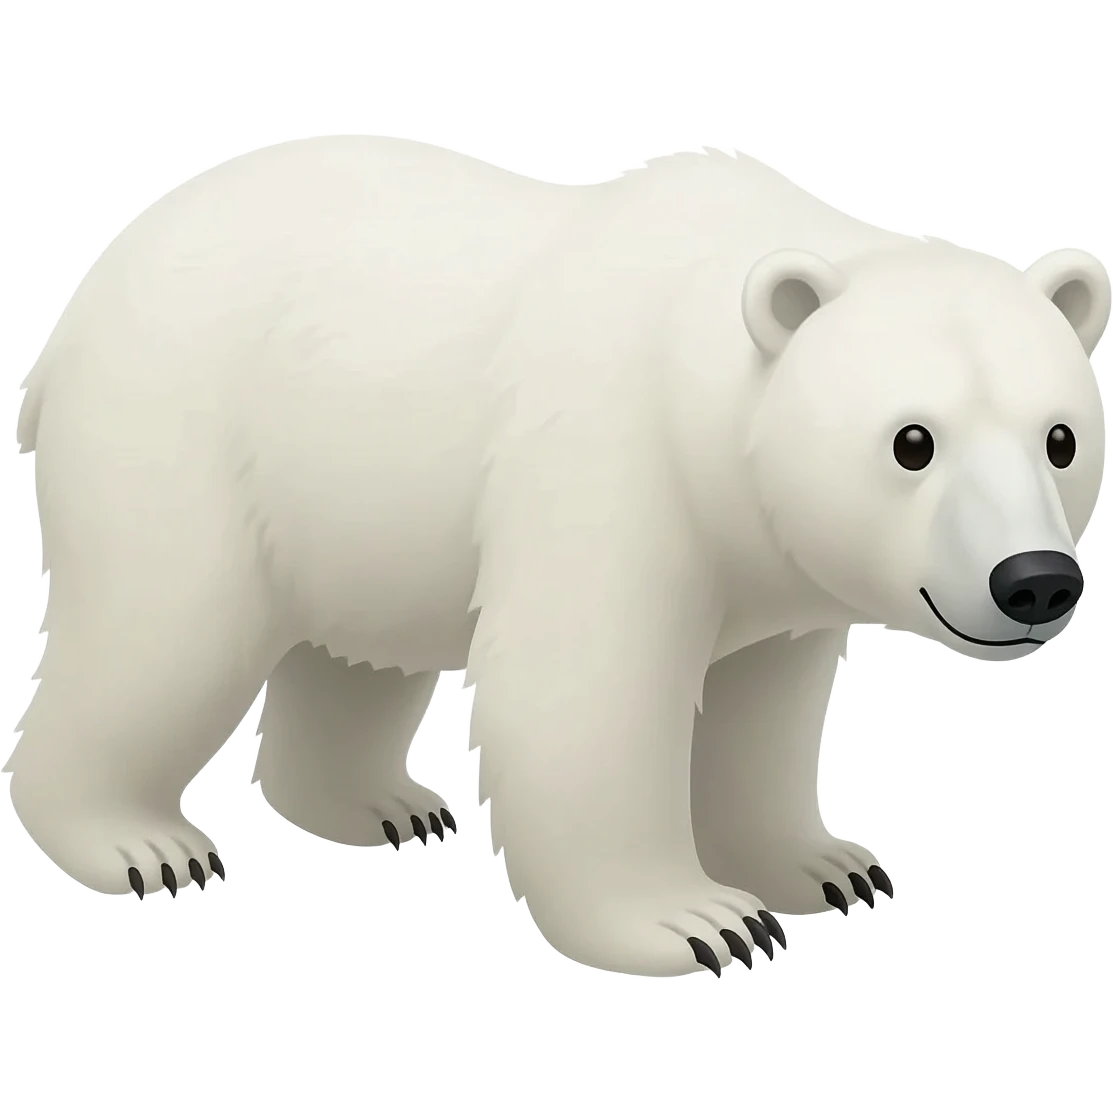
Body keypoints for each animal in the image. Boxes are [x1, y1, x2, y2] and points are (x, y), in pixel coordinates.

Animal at [8, 136, 1109, 979]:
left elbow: (765, 710)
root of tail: (78, 305)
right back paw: (139, 844)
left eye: (1061, 437)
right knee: (164, 635)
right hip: (188, 434)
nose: (1034, 580)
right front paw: (701, 922)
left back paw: (382, 802)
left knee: (356, 652)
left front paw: (827, 867)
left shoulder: (770, 561)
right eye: (911, 440)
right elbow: (584, 693)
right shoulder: (609, 455)